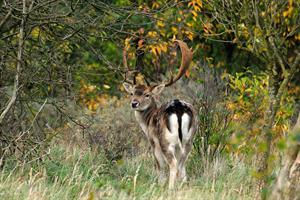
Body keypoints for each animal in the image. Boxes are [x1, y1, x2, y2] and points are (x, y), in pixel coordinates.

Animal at [122, 39, 197, 189]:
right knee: (182, 165)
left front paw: (159, 185)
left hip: (166, 141)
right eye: (132, 93)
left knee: (173, 164)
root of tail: (179, 109)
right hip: (189, 140)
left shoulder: (153, 142)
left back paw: (170, 188)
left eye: (147, 94)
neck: (147, 122)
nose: (134, 103)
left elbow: (158, 166)